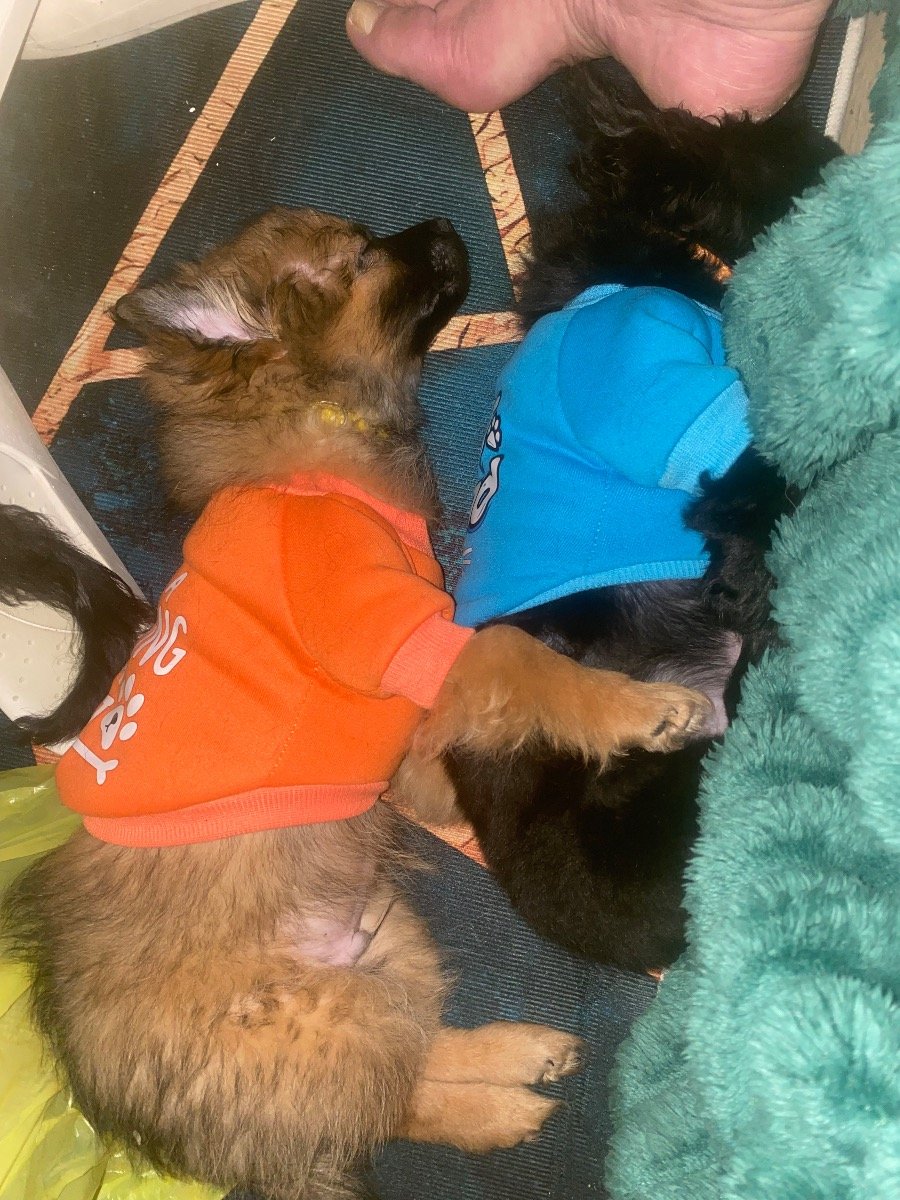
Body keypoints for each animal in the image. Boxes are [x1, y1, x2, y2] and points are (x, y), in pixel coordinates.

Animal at [0, 207, 711, 1199]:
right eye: (362, 256)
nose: (447, 224)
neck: (308, 438)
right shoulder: (397, 630)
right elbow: (516, 656)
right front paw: (634, 708)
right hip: (312, 1020)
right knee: (386, 1102)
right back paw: (502, 1110)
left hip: (384, 940)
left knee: (402, 1069)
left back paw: (516, 1060)